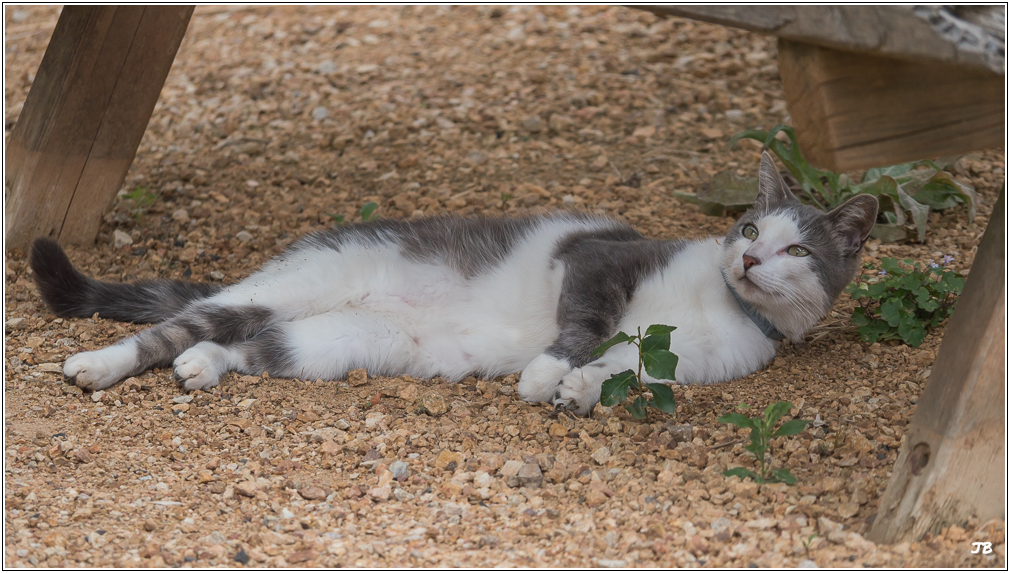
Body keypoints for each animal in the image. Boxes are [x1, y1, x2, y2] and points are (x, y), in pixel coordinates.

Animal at [27, 151, 872, 412]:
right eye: (752, 229)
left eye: (799, 250)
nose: (751, 260)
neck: (720, 304)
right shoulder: (601, 262)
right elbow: (586, 325)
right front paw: (544, 375)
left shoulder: (679, 363)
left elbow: (624, 371)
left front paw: (578, 390)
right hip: (294, 287)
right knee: (184, 320)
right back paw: (98, 364)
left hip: (335, 343)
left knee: (249, 343)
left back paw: (203, 366)